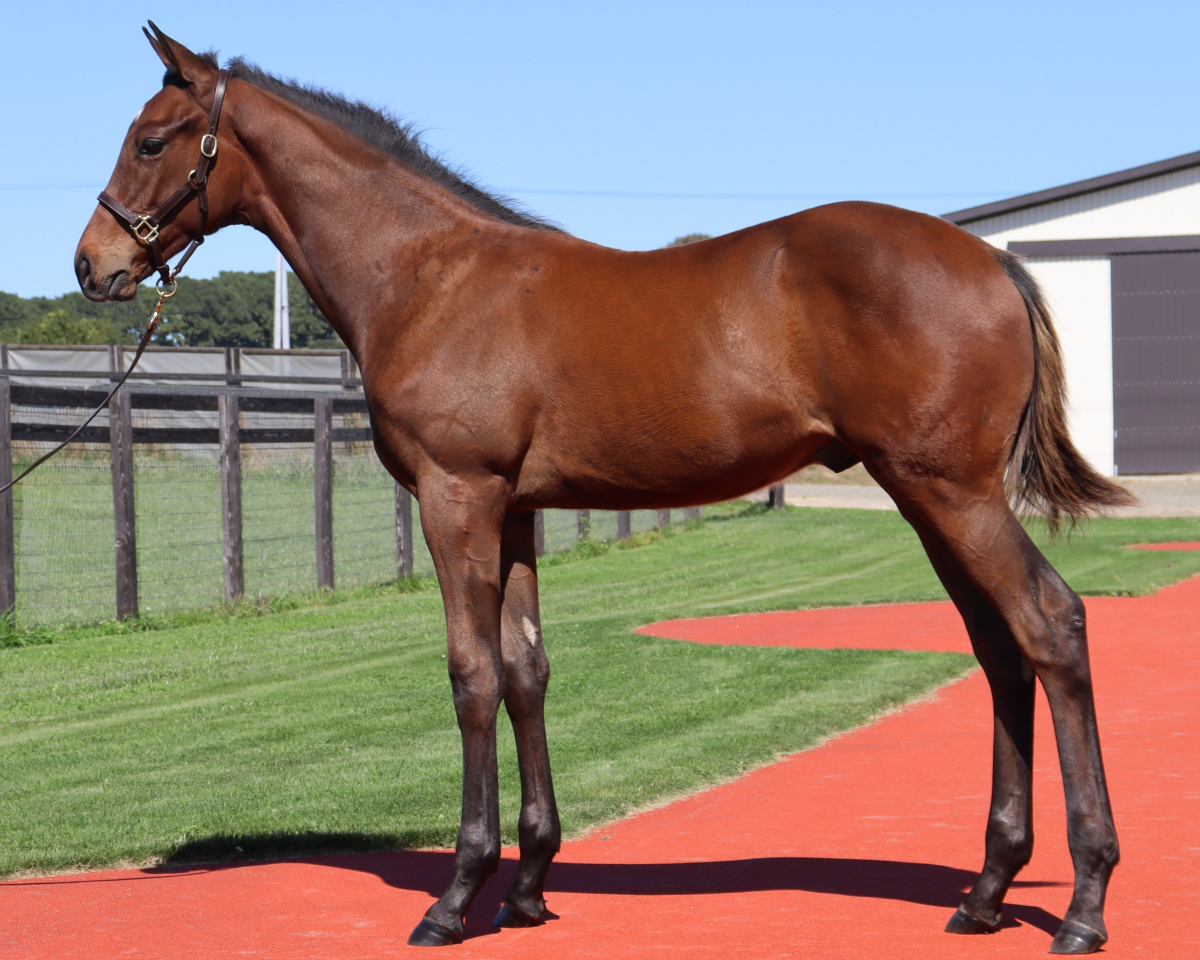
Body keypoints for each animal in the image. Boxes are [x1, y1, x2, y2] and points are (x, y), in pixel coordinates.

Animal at [74, 23, 1133, 953]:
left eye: (152, 139)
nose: (93, 263)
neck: (431, 277)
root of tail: (992, 259)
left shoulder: (456, 500)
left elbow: (471, 675)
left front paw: (455, 898)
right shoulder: (515, 513)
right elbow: (527, 671)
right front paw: (529, 890)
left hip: (953, 493)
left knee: (1052, 626)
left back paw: (1083, 904)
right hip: (928, 499)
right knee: (1000, 652)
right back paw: (986, 894)